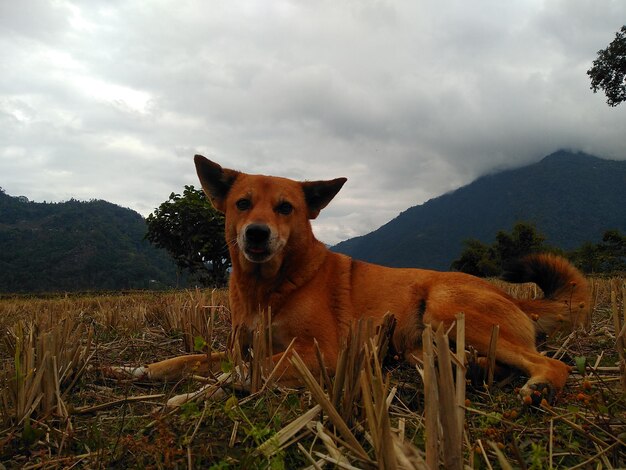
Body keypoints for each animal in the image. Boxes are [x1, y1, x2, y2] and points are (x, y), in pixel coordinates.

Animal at [113, 155, 588, 404]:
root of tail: (516, 298)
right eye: (242, 203)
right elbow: (188, 360)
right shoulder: (238, 346)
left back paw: (539, 386)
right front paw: (136, 368)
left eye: (285, 208)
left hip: (448, 308)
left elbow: (249, 370)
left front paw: (195, 395)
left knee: (553, 363)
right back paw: (472, 370)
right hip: (420, 343)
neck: (269, 288)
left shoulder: (324, 352)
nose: (257, 234)